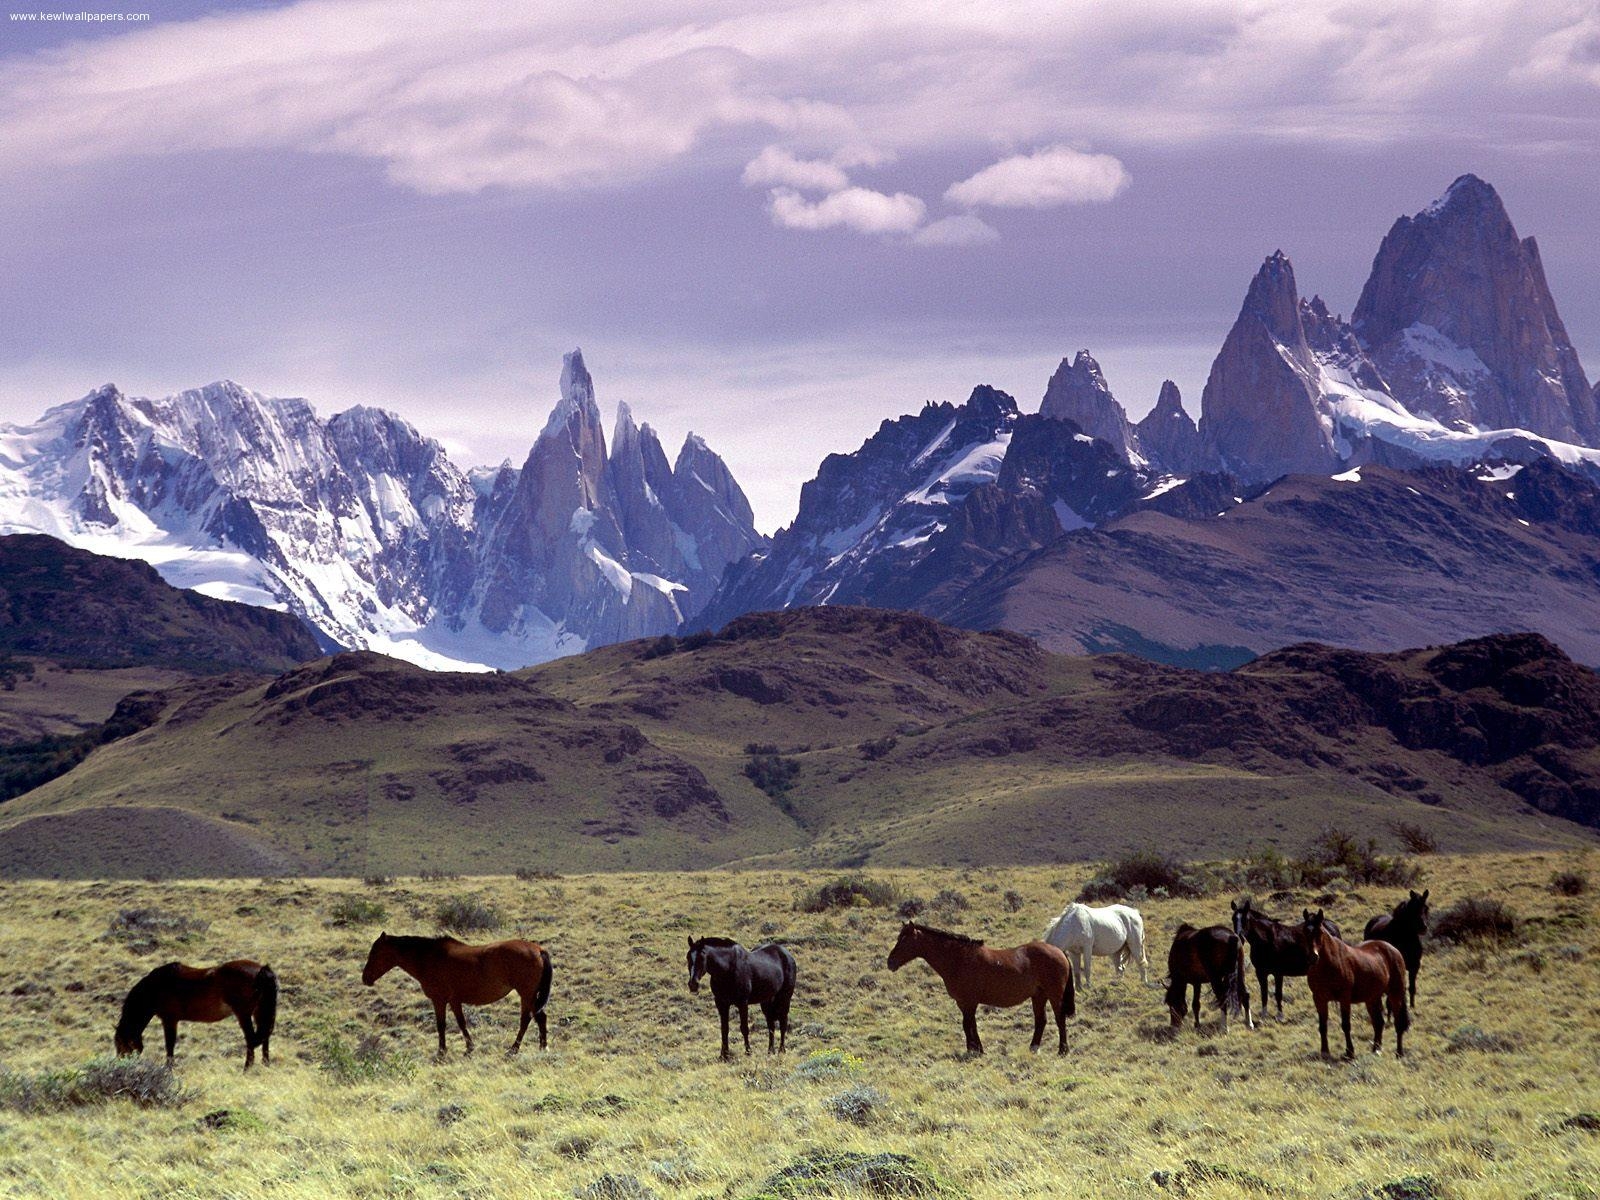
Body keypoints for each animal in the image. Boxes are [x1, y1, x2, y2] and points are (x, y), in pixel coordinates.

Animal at [114, 960, 278, 1068]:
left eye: (120, 1046)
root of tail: (262, 970)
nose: (121, 1065)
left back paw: (246, 1069)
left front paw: (169, 1069)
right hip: (259, 1013)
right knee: (264, 1038)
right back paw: (265, 1065)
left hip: (243, 1014)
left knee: (251, 1039)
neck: (156, 987)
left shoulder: (169, 1020)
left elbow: (169, 1045)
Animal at [364, 934, 556, 1056]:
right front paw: (469, 1047)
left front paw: (442, 1051)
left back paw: (514, 1049)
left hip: (526, 994)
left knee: (527, 1019)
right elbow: (461, 1023)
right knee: (540, 1017)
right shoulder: (454, 1001)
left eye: (375, 952)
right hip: (531, 995)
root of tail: (538, 949)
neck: (430, 958)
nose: (365, 978)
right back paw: (542, 1047)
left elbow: (441, 1025)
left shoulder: (439, 1000)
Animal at [889, 921, 1075, 1049]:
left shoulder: (969, 1002)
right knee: (1041, 1021)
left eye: (904, 940)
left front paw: (974, 1050)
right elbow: (969, 1024)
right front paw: (975, 1048)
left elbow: (968, 1024)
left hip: (1054, 995)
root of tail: (1059, 951)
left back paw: (1062, 1050)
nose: (889, 962)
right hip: (1038, 996)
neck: (959, 960)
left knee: (1059, 1019)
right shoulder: (963, 1003)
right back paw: (1033, 1048)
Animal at [1299, 908, 1414, 1062]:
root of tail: (1394, 950)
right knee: (1379, 1023)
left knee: (1398, 1023)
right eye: (1305, 931)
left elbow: (1346, 1025)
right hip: (1372, 998)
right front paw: (1325, 1052)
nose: (1313, 957)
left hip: (1395, 994)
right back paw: (1376, 1050)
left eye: (1320, 932)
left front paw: (1349, 1053)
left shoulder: (1344, 998)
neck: (1329, 965)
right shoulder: (1319, 999)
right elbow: (1322, 1026)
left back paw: (1399, 1053)